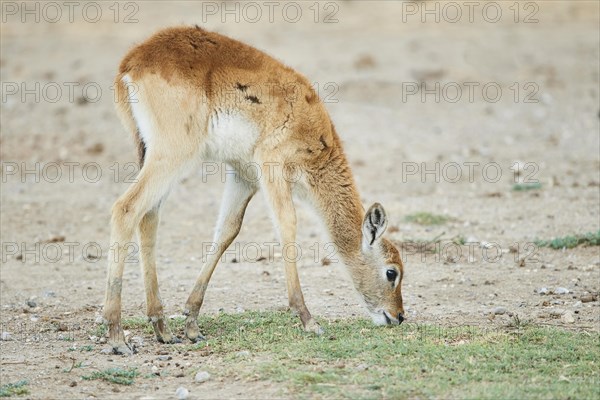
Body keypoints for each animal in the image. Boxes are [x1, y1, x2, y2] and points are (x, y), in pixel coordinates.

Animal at [105, 25, 406, 354]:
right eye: (392, 272)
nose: (398, 316)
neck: (315, 133)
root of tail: (133, 60)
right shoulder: (272, 166)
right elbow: (287, 223)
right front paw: (308, 319)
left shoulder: (243, 175)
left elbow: (228, 231)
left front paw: (191, 322)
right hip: (174, 155)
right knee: (126, 208)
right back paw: (116, 335)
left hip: (151, 153)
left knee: (149, 216)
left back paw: (161, 326)